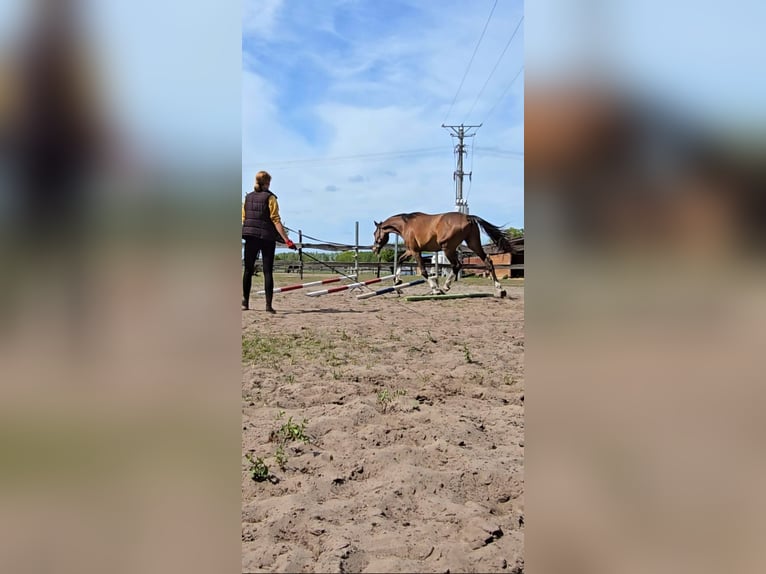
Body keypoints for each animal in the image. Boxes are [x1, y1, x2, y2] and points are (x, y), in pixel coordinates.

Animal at [372, 212, 515, 297]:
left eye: (375, 233)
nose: (374, 249)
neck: (406, 224)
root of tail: (468, 217)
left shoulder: (415, 251)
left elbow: (423, 271)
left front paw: (434, 289)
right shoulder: (410, 251)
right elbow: (400, 260)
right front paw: (398, 284)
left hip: (448, 248)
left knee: (457, 265)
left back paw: (445, 287)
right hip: (473, 244)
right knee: (488, 262)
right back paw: (500, 290)